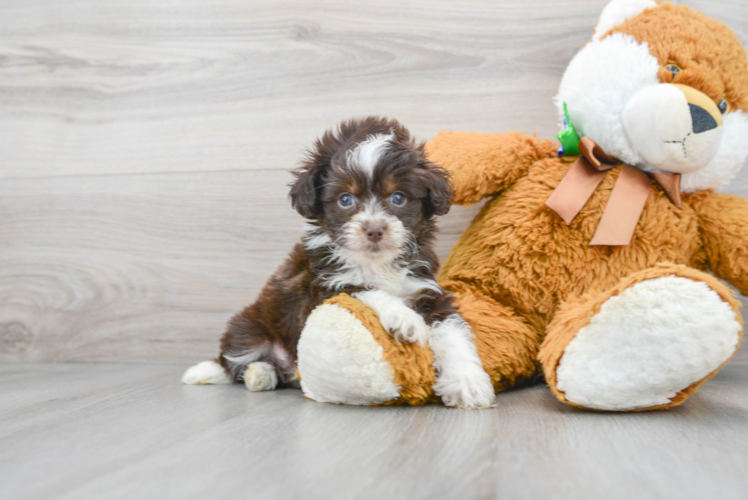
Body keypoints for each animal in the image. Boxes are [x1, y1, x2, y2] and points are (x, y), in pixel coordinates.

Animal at [183, 117, 496, 410]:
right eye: (345, 199)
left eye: (398, 197)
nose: (374, 229)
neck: (376, 262)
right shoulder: (323, 286)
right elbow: (365, 289)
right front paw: (404, 318)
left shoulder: (426, 288)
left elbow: (452, 332)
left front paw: (467, 383)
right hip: (248, 327)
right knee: (234, 362)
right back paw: (247, 373)